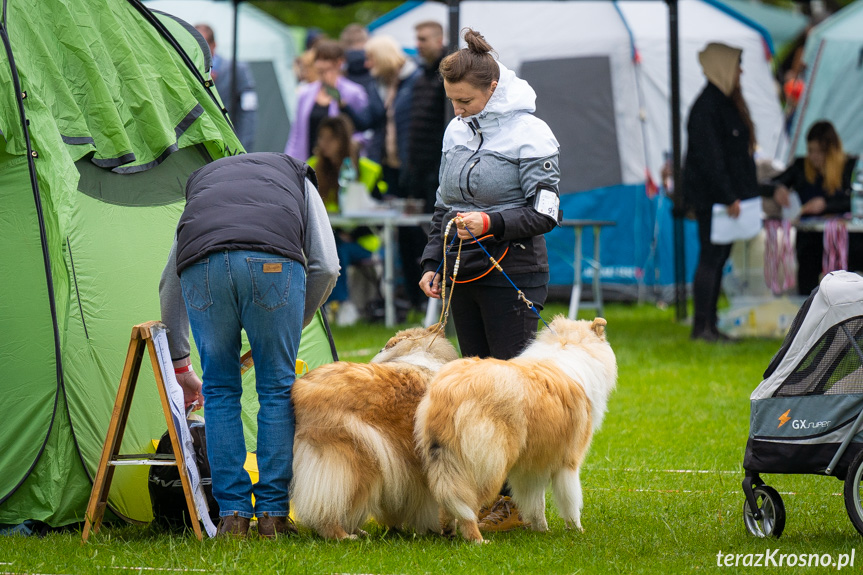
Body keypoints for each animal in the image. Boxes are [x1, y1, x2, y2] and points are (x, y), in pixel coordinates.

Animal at [416, 318, 616, 544]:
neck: (568, 345)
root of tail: (452, 391)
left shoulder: (533, 464)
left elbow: (537, 502)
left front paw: (541, 530)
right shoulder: (569, 462)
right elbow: (571, 501)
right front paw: (576, 530)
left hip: (447, 461)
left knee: (448, 501)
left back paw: (448, 531)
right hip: (489, 465)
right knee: (467, 504)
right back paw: (477, 540)